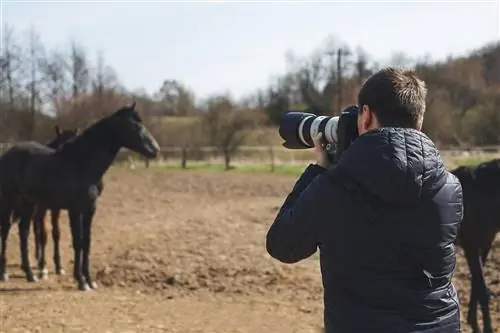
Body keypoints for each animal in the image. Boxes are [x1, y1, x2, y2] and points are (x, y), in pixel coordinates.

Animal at [0, 102, 159, 290]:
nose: (155, 150)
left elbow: (86, 242)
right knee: (6, 229)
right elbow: (77, 241)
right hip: (9, 201)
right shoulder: (75, 209)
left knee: (23, 231)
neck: (82, 163)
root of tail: (7, 154)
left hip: (28, 203)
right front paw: (81, 281)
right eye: (135, 126)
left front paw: (90, 280)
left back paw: (31, 274)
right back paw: (5, 273)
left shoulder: (90, 208)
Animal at [450, 158, 500, 332]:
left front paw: (472, 321)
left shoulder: (485, 244)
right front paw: (488, 328)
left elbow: (476, 284)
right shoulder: (470, 245)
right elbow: (482, 288)